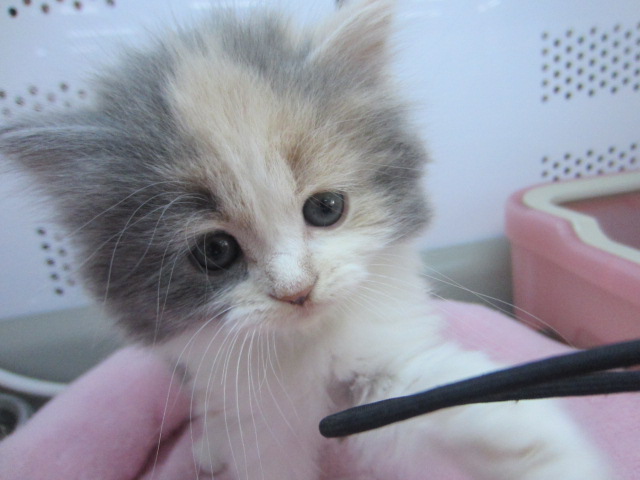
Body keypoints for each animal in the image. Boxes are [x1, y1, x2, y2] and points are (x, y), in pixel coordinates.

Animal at [0, 0, 612, 478]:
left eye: (325, 209)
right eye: (215, 252)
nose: (298, 290)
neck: (306, 348)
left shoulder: (386, 366)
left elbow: (460, 405)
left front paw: (557, 461)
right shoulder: (252, 412)